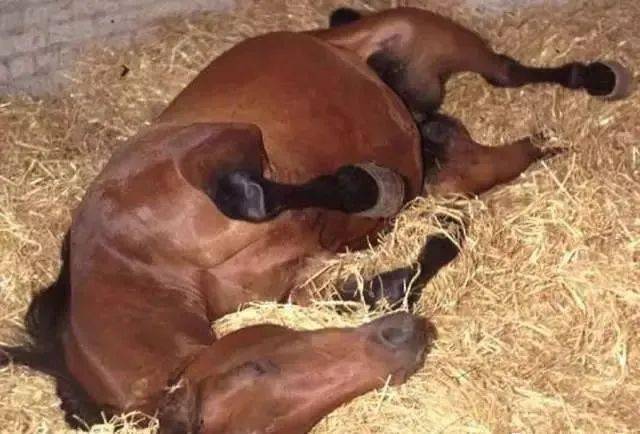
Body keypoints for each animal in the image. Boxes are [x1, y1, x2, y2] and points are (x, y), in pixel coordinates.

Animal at [0, 5, 632, 434]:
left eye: (257, 367)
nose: (400, 345)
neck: (144, 263)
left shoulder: (217, 149)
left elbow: (251, 194)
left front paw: (372, 188)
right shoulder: (307, 277)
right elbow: (392, 282)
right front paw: (439, 234)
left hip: (425, 32)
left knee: (508, 72)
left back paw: (600, 77)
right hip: (458, 159)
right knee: (498, 151)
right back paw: (529, 146)